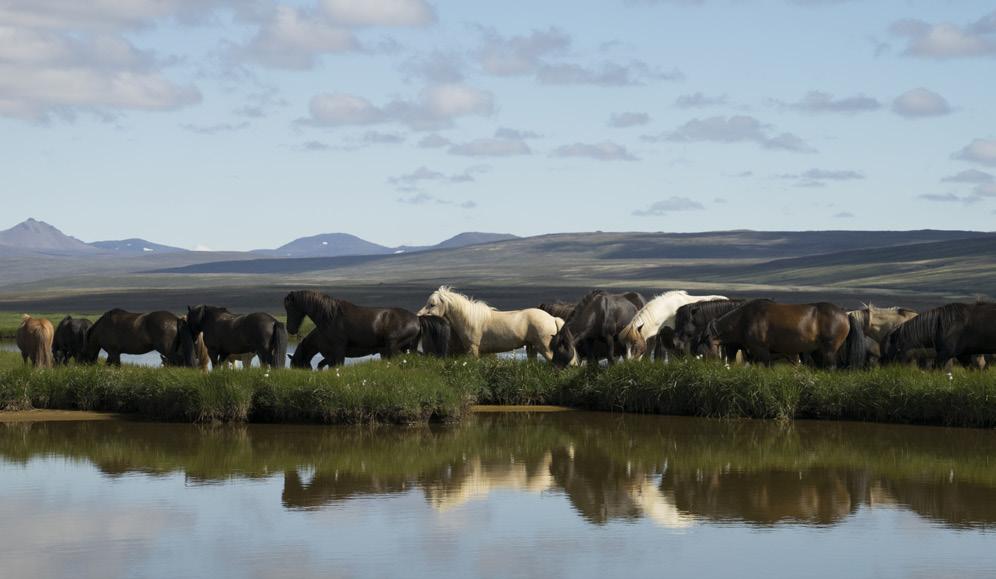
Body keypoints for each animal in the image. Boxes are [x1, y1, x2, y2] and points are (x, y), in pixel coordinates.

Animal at [282, 290, 422, 368]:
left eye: (290, 308)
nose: (290, 329)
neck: (330, 316)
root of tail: (416, 319)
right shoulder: (331, 355)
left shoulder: (338, 350)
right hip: (404, 348)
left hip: (392, 347)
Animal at [416, 286, 564, 360]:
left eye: (432, 304)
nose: (418, 315)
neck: (468, 319)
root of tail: (553, 319)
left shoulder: (473, 348)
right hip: (531, 347)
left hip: (545, 348)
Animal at [704, 302, 860, 370]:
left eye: (704, 340)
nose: (707, 364)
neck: (744, 319)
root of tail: (845, 314)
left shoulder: (762, 352)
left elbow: (768, 368)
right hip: (817, 351)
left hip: (828, 350)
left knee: (831, 367)